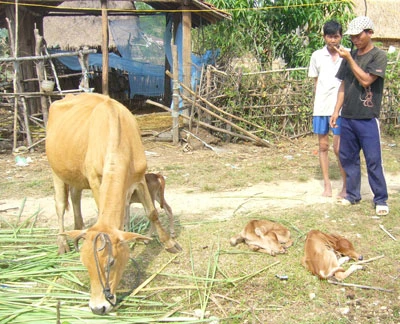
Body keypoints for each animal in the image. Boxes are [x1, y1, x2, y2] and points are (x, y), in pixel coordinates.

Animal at [45, 92, 181, 316]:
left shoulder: (139, 177)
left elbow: (151, 212)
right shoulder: (95, 179)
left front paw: (169, 243)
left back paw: (78, 229)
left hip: (75, 176)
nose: (97, 307)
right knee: (59, 205)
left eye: (111, 262)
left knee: (74, 196)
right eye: (85, 264)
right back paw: (62, 243)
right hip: (55, 170)